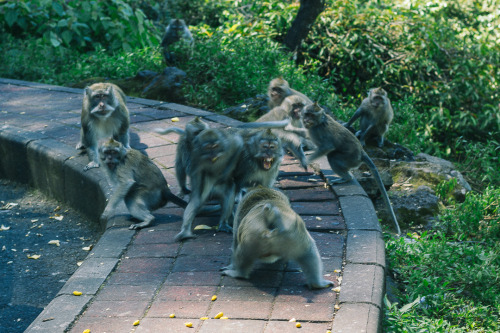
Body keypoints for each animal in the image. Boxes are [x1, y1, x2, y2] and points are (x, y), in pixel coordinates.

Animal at [300, 102, 402, 235]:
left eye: (311, 115)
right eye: (307, 114)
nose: (306, 120)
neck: (319, 122)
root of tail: (361, 152)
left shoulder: (319, 132)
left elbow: (327, 147)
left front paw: (305, 161)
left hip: (350, 158)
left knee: (332, 156)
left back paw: (345, 178)